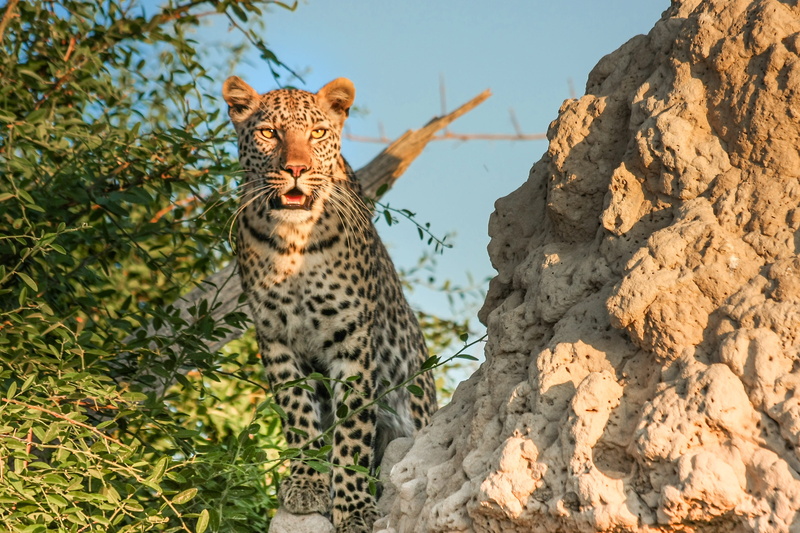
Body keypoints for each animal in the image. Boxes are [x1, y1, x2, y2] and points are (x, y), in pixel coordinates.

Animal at [222, 76, 437, 533]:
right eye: (269, 133)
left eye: (318, 133)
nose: (296, 170)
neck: (293, 242)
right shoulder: (275, 338)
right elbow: (298, 414)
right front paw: (306, 484)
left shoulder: (351, 337)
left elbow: (352, 428)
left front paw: (354, 508)